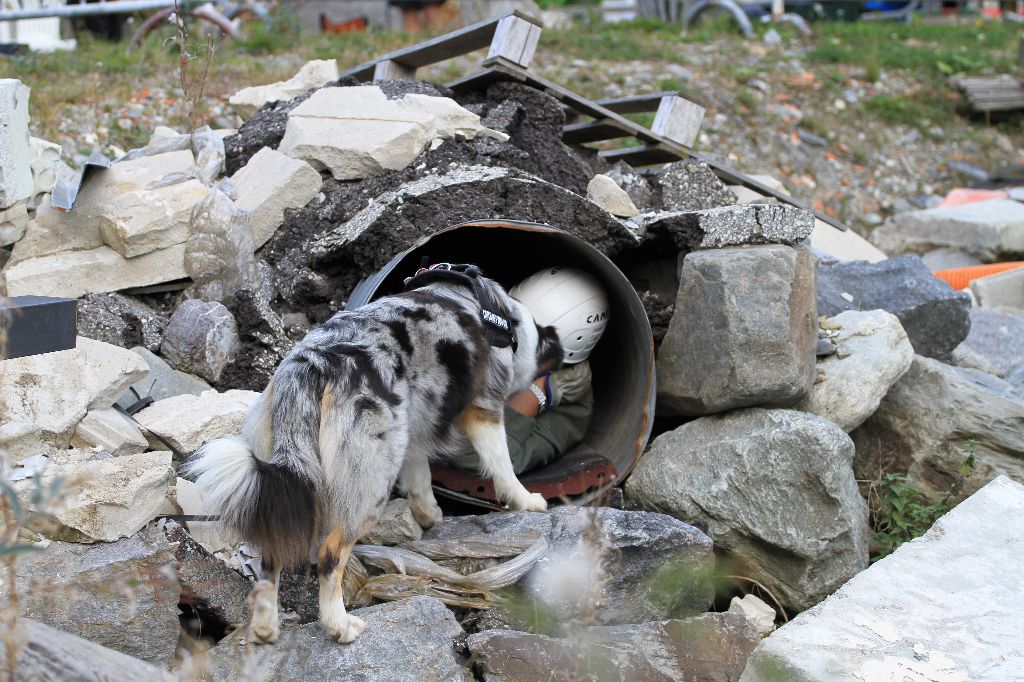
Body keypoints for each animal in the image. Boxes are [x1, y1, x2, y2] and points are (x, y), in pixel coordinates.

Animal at [183, 263, 562, 644]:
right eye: (546, 340)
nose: (560, 350)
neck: (488, 306)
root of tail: (309, 366)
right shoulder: (483, 409)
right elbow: (501, 464)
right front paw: (527, 501)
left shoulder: (410, 426)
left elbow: (420, 474)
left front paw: (428, 515)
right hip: (370, 482)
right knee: (329, 555)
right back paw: (339, 625)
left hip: (294, 482)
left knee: (272, 552)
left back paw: (265, 628)